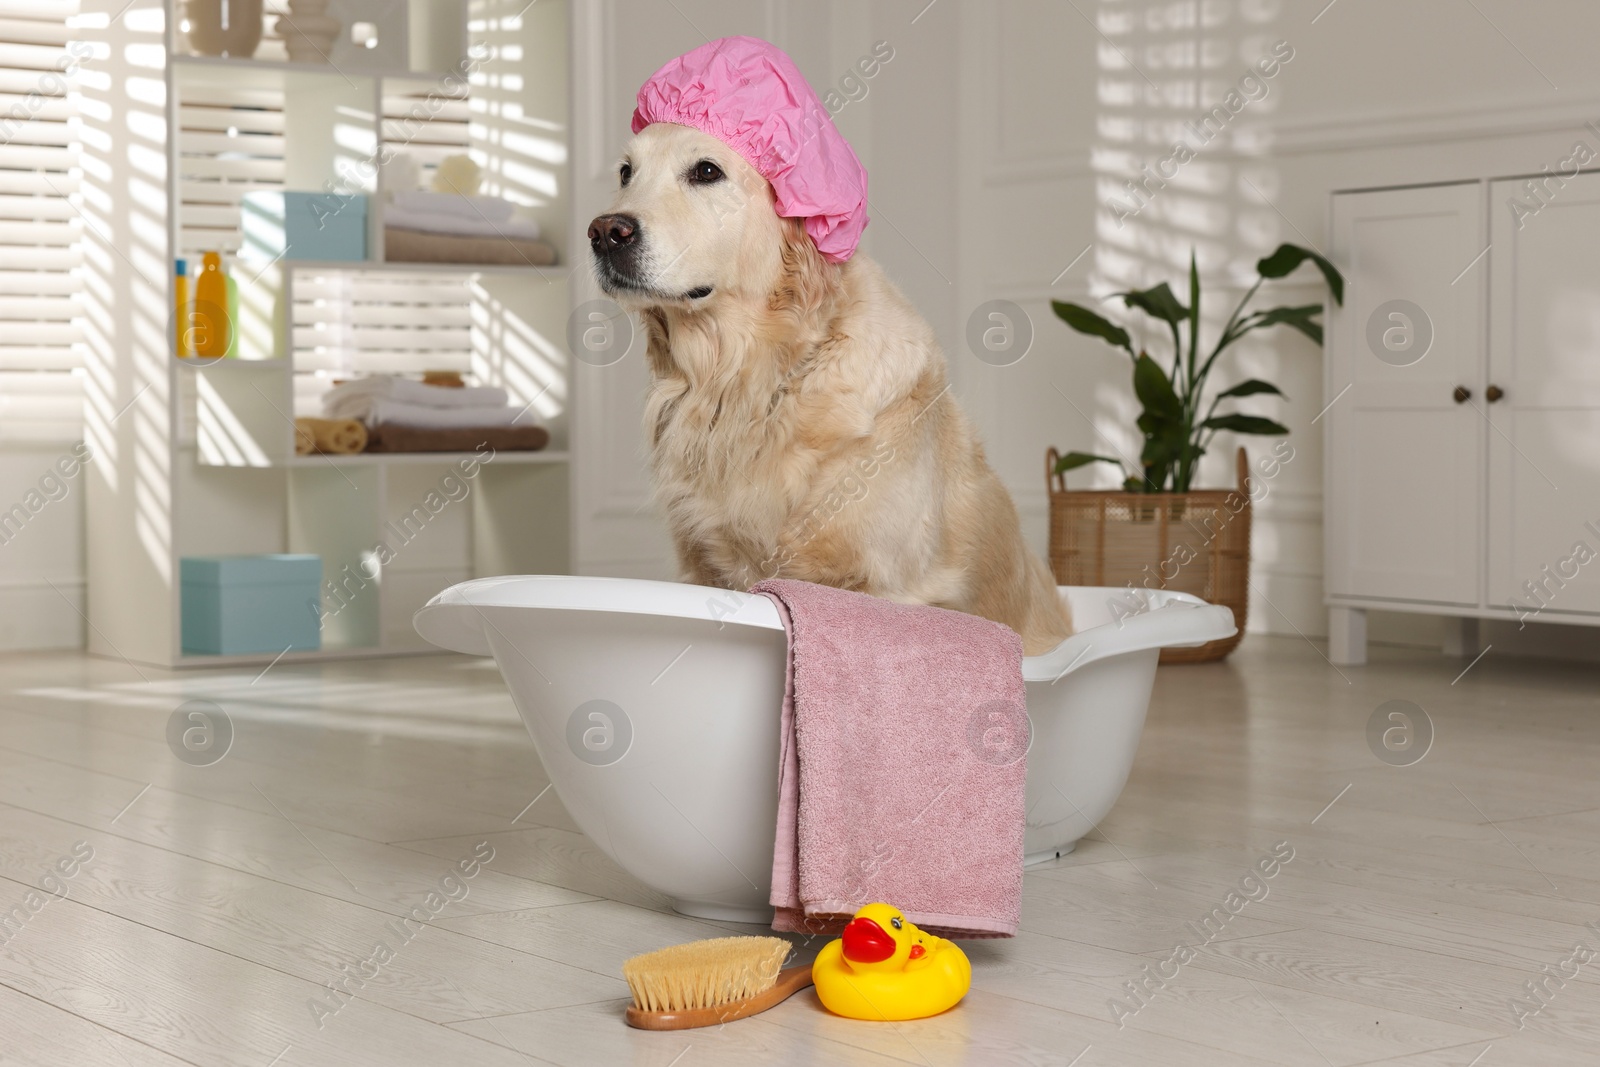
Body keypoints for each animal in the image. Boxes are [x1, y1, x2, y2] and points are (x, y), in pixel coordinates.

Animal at [588, 126, 1075, 659]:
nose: (605, 232)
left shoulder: (887, 588)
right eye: (626, 172)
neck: (752, 381)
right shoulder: (704, 569)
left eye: (707, 171)